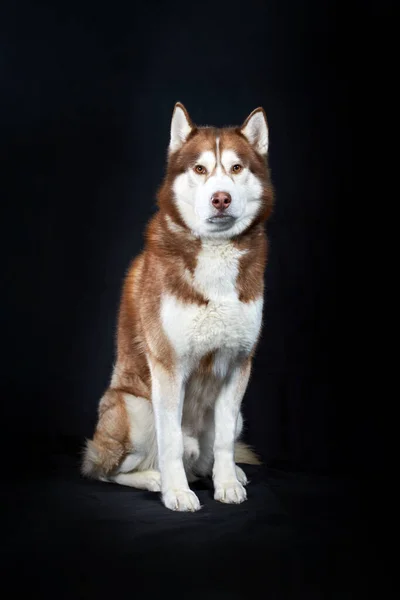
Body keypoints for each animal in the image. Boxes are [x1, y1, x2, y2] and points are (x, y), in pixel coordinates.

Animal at [82, 103, 274, 510]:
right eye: (200, 169)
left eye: (236, 168)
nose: (221, 198)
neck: (215, 256)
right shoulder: (168, 366)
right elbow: (169, 439)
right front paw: (176, 493)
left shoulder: (238, 364)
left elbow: (223, 442)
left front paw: (226, 484)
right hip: (134, 410)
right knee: (107, 471)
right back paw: (154, 479)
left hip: (238, 418)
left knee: (210, 453)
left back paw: (229, 473)